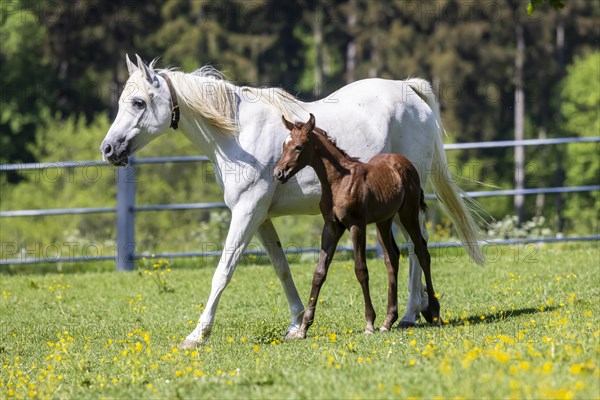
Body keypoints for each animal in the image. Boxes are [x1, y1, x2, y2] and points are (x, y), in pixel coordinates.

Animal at [274, 114, 438, 340]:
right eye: (283, 145)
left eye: (298, 147)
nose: (278, 173)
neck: (338, 181)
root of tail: (405, 163)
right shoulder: (332, 226)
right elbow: (319, 272)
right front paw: (304, 328)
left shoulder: (356, 225)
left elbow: (361, 270)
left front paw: (369, 323)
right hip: (384, 220)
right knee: (392, 257)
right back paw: (388, 320)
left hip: (408, 214)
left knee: (422, 250)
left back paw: (434, 311)